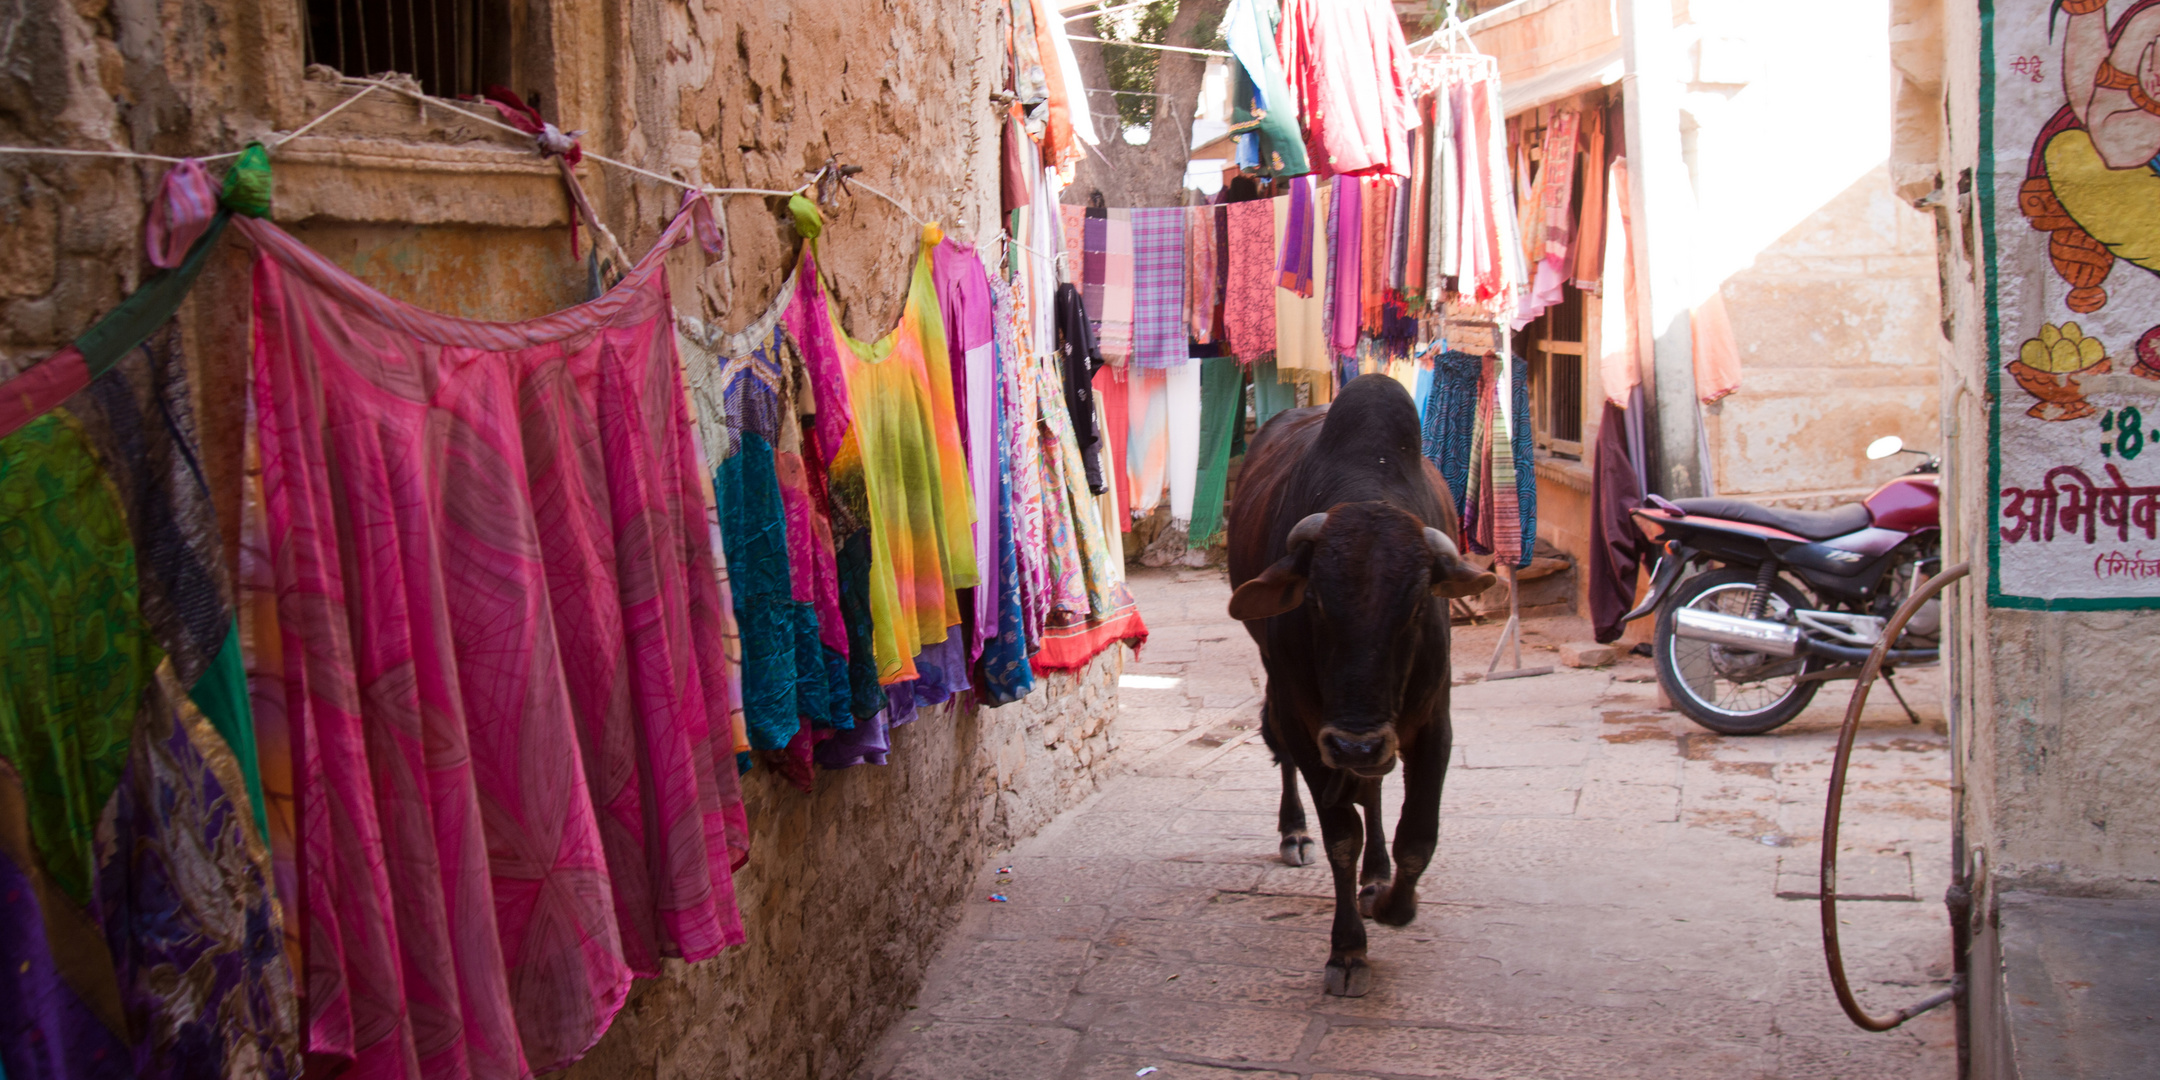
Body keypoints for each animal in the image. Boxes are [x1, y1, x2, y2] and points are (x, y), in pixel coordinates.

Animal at [1226, 371, 1494, 993]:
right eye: (1318, 602)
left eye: (1416, 607)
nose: (1355, 743)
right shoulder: (1309, 721)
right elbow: (1339, 835)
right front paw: (1347, 949)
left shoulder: (1431, 723)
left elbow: (1417, 834)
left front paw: (1394, 902)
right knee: (1290, 758)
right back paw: (1294, 832)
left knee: (1373, 789)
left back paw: (1377, 874)